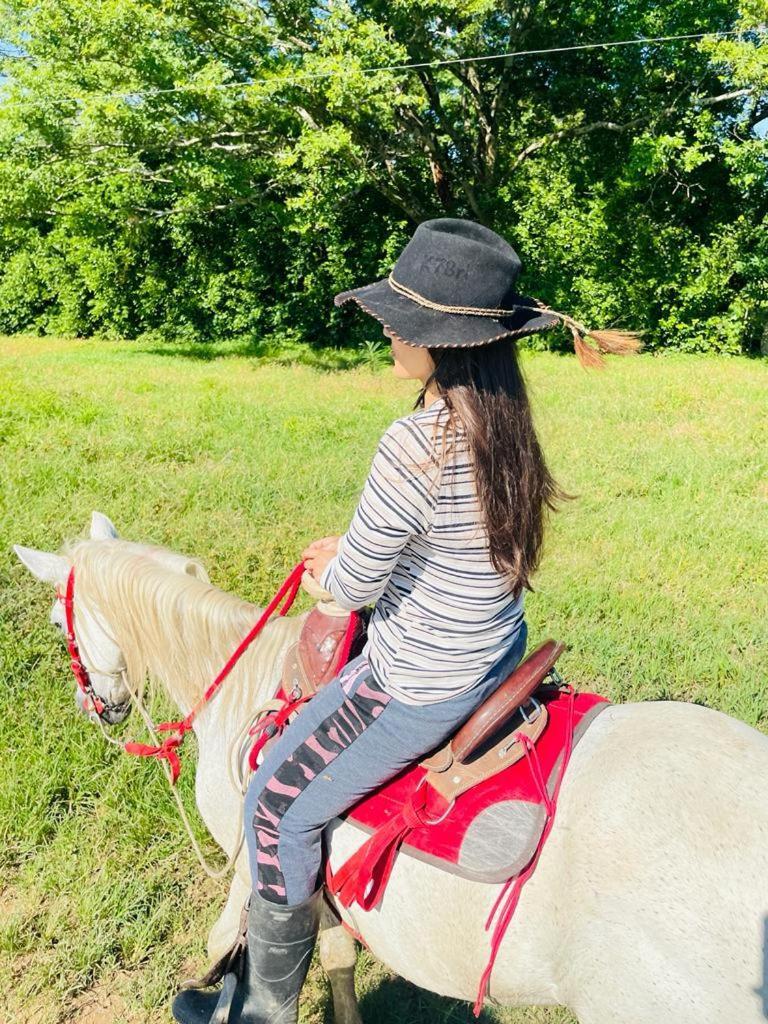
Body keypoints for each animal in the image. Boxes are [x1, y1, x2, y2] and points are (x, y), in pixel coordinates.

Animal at [13, 512, 768, 1024]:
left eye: (57, 624)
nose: (96, 709)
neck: (241, 686)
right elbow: (338, 958)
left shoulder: (258, 852)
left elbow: (234, 940)